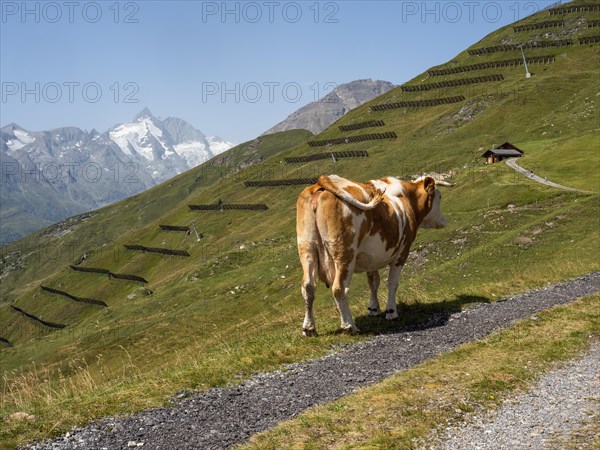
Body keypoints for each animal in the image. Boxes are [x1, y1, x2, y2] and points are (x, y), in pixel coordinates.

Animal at [296, 174, 450, 336]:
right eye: (439, 196)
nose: (444, 221)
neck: (406, 198)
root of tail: (322, 181)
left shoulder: (370, 258)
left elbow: (373, 282)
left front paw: (374, 309)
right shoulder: (402, 252)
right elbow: (392, 283)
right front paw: (391, 312)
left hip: (307, 248)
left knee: (308, 286)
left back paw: (309, 328)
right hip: (345, 254)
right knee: (339, 288)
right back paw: (349, 325)